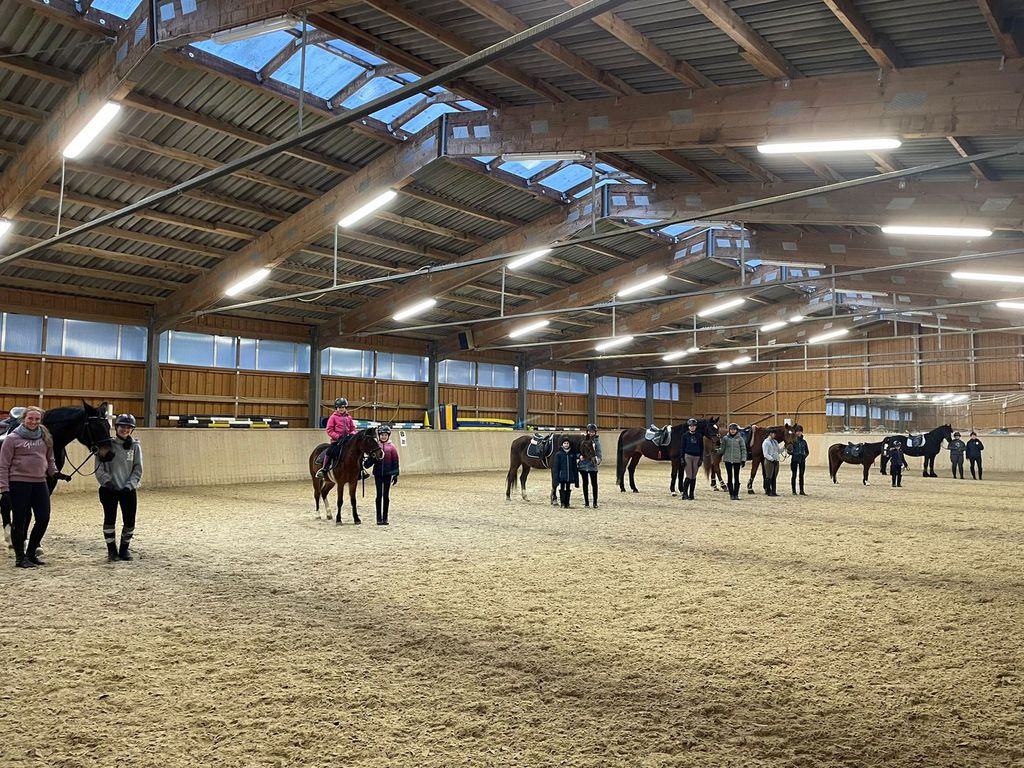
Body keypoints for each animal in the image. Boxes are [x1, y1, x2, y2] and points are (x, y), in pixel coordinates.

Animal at [2, 401, 114, 547]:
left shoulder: (50, 480)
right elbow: (27, 511)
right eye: (95, 427)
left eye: (108, 426)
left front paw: (35, 544)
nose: (110, 454)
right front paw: (24, 540)